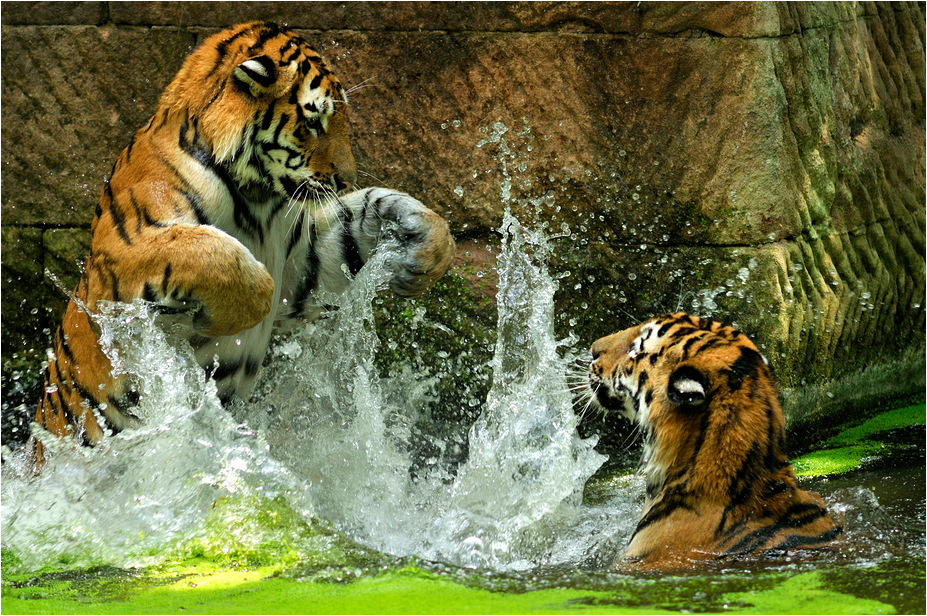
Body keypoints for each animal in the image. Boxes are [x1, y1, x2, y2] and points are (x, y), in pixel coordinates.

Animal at [31, 21, 455, 469]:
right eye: (314, 123)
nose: (346, 179)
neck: (259, 200)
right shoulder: (122, 257)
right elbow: (226, 261)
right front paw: (213, 323)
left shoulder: (304, 260)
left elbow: (358, 223)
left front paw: (425, 244)